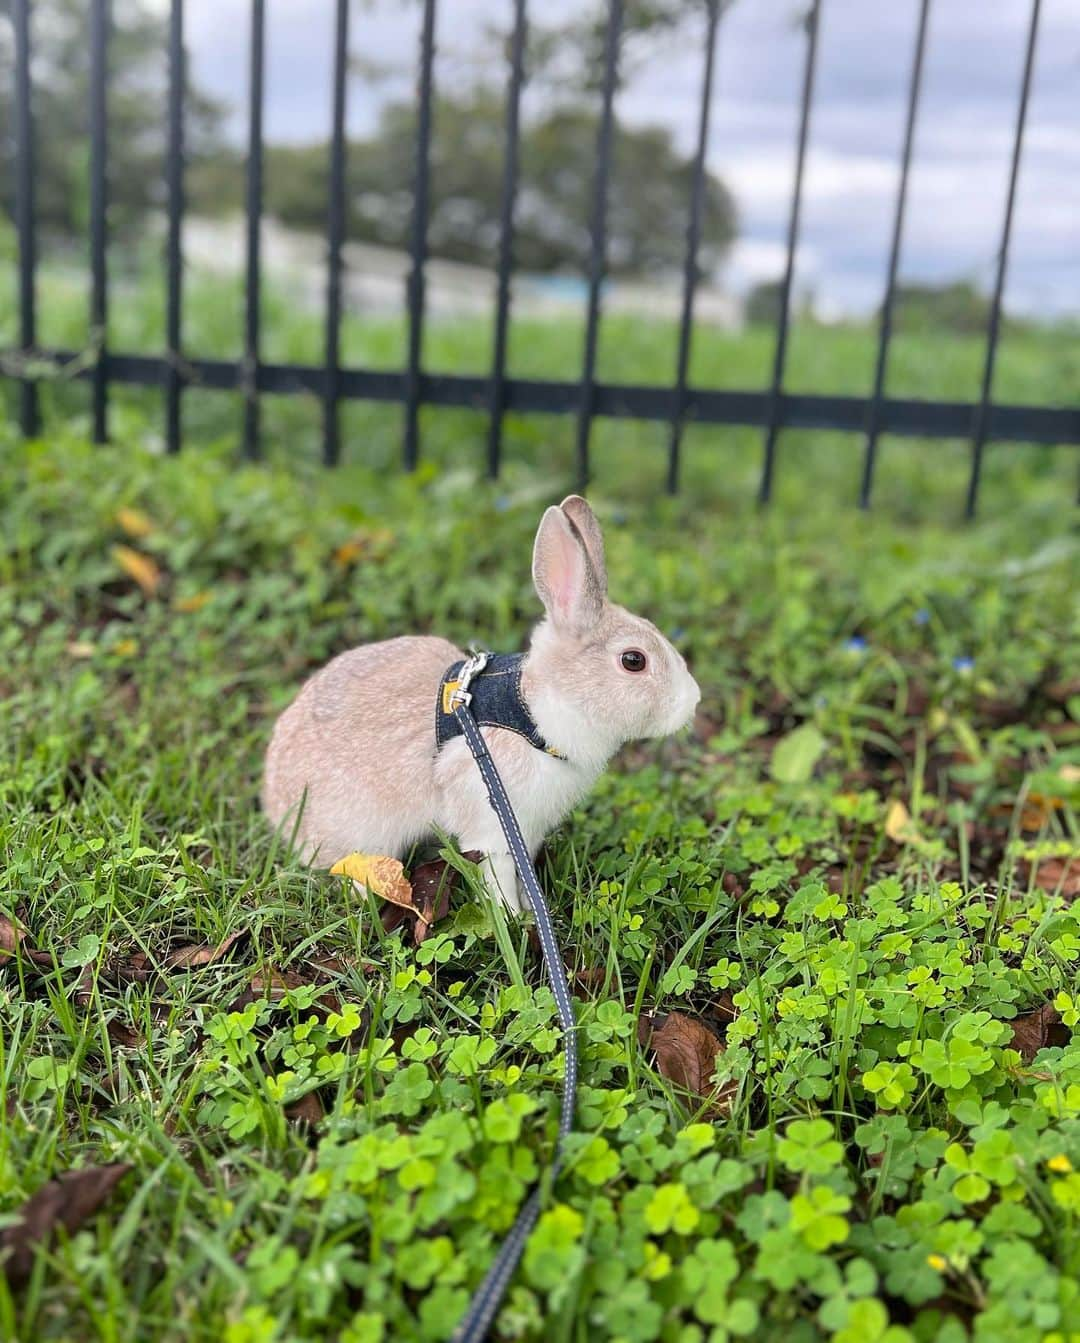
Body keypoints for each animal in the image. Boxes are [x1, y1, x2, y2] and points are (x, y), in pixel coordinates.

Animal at [259, 494, 698, 913]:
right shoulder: (493, 821)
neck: (535, 712)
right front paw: (514, 918)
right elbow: (498, 871)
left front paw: (527, 911)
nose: (691, 702)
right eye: (633, 661)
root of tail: (275, 798)